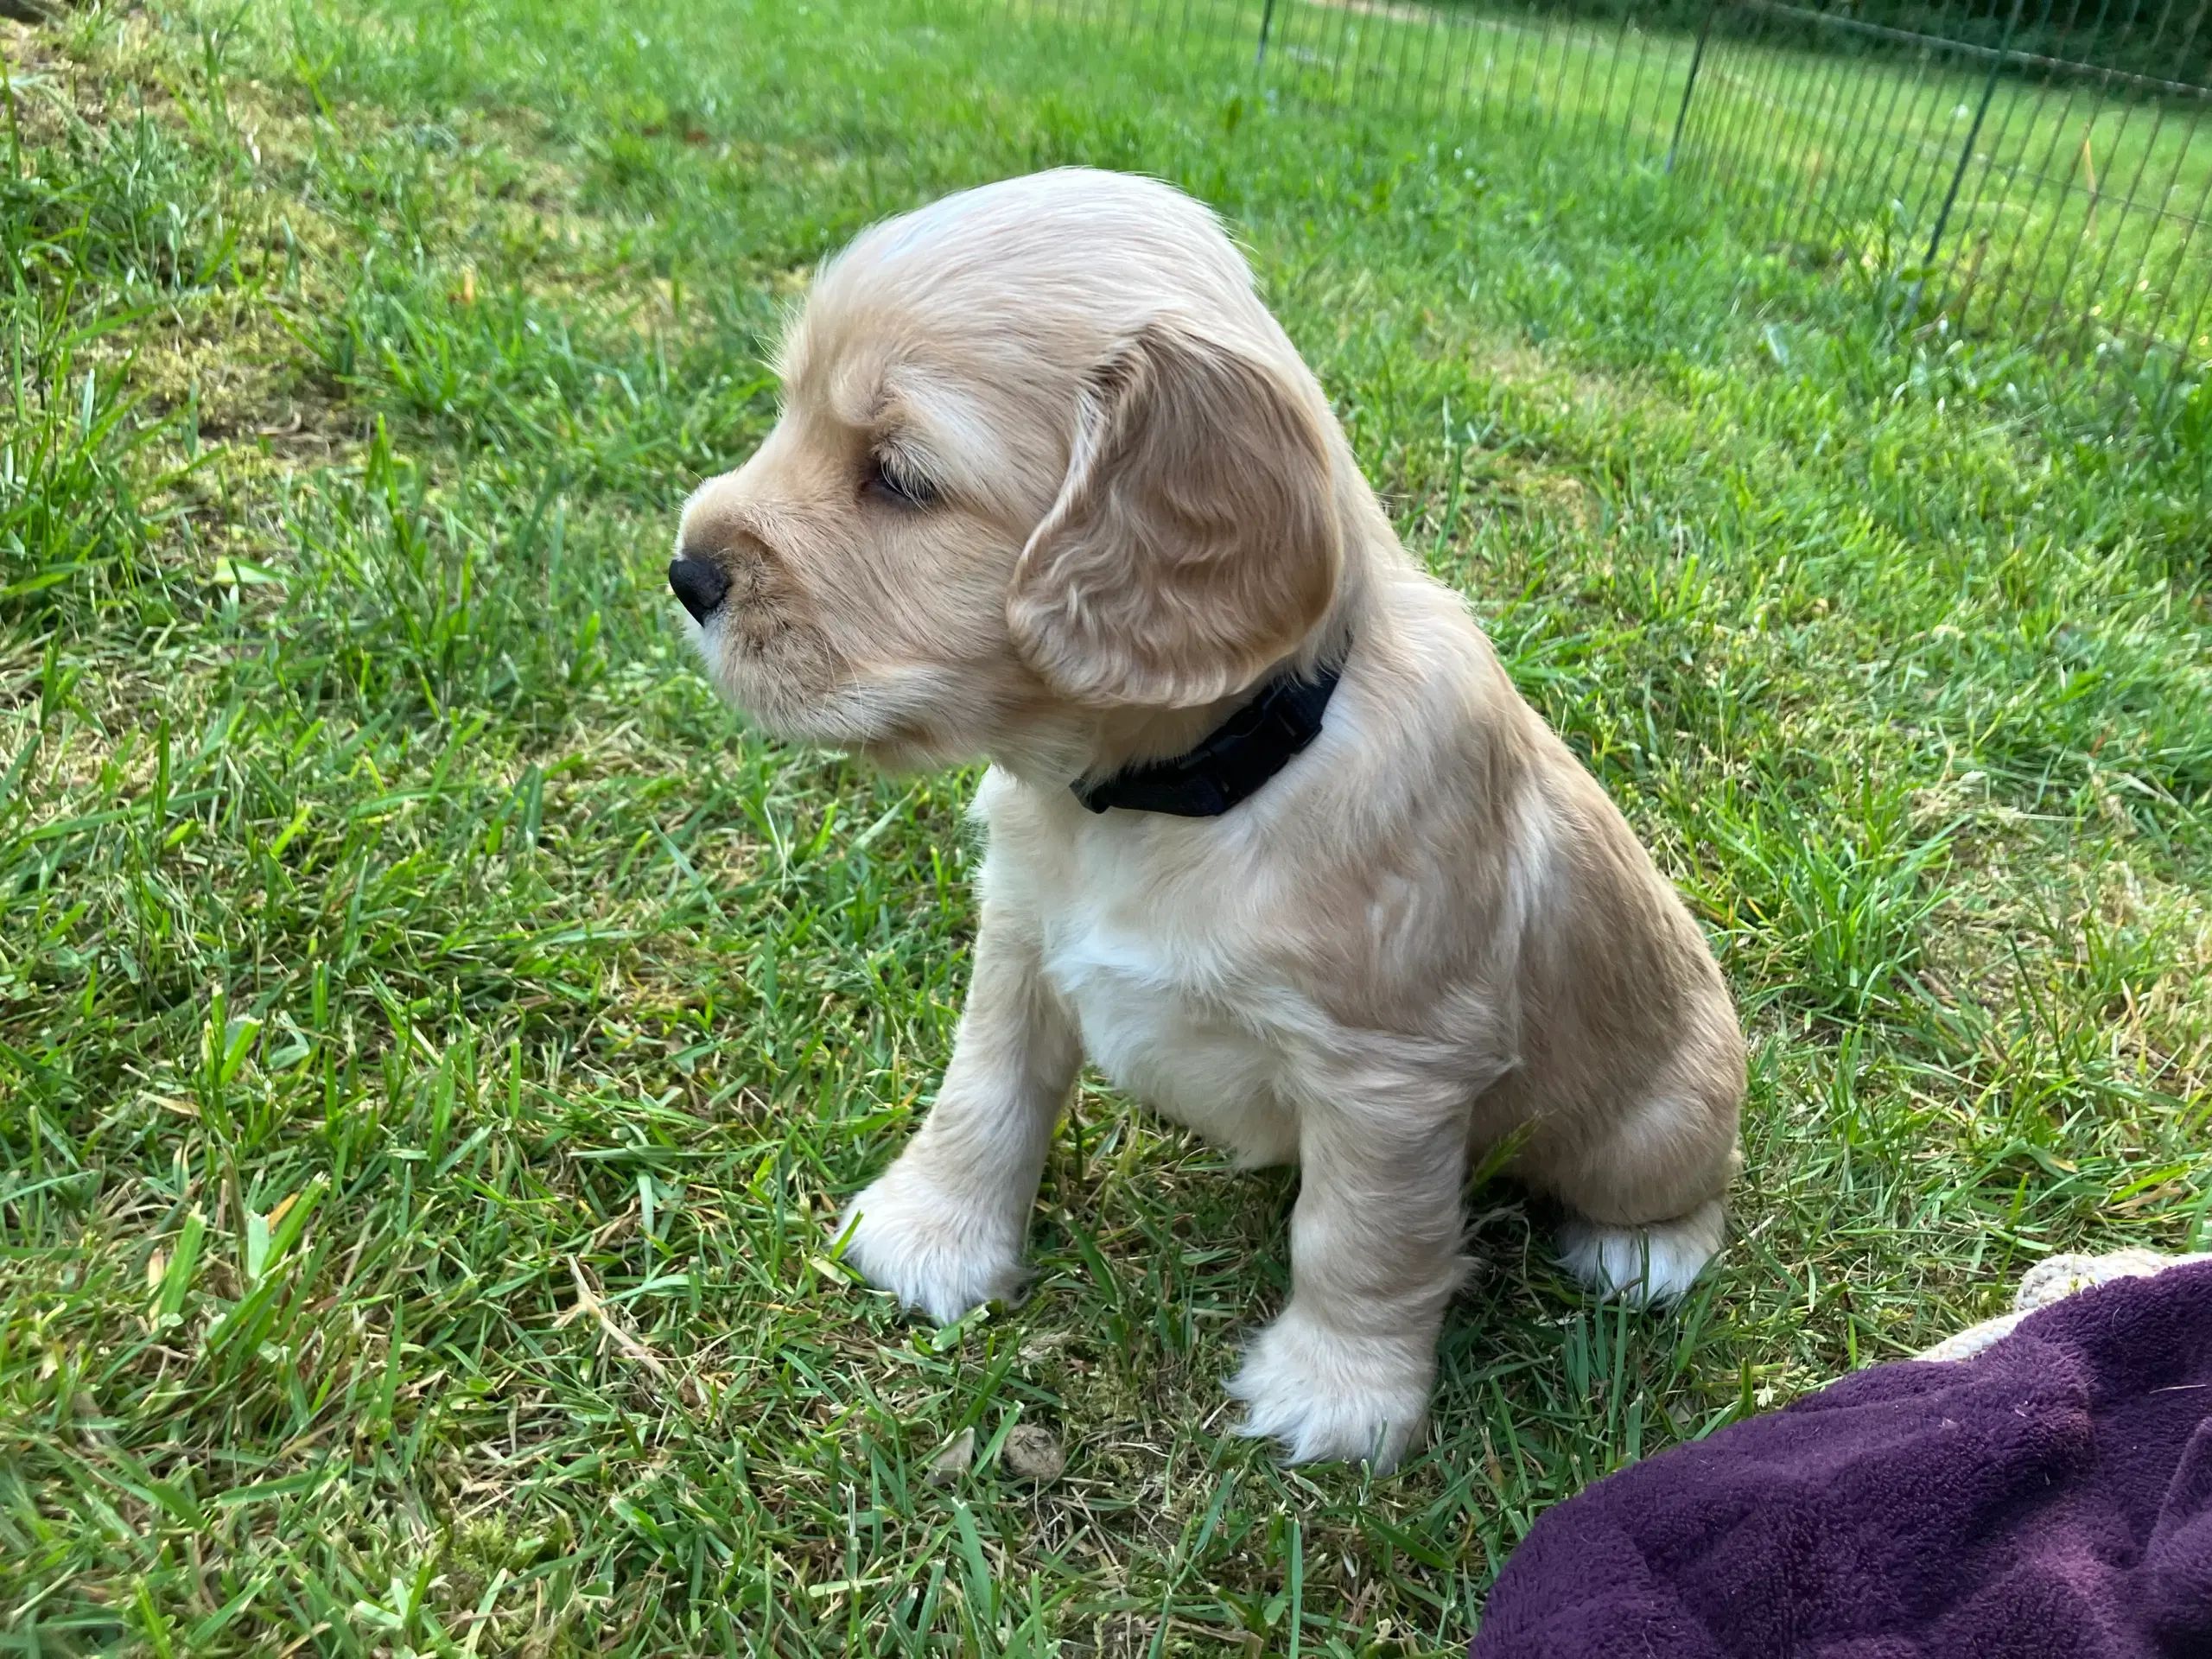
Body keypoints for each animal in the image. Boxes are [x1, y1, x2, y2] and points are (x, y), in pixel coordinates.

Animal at [672, 168, 1743, 1468]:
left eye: (901, 477)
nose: (686, 573)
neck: (1178, 795)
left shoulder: (1391, 1077)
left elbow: (1363, 1239)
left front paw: (1338, 1396)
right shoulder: (1020, 941)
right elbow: (983, 1093)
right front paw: (933, 1234)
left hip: (1660, 1117)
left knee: (1684, 1181)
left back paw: (1648, 1250)